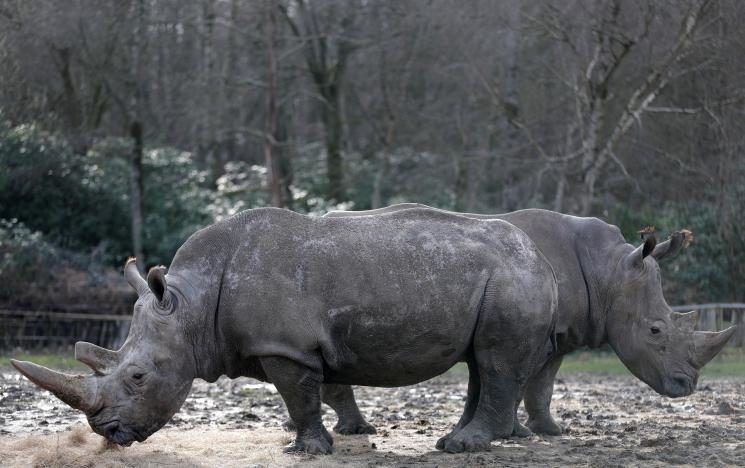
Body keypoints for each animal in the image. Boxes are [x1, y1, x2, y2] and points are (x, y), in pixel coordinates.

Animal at [12, 207, 559, 454]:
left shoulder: (286, 348)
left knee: (495, 361)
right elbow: (305, 398)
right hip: (500, 276)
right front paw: (300, 445)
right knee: (479, 361)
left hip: (513, 278)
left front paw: (308, 451)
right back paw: (455, 441)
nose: (107, 433)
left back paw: (466, 446)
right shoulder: (285, 346)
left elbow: (299, 397)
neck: (189, 307)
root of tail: (542, 259)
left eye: (138, 377)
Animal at [313, 203, 736, 439]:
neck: (609, 273)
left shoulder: (559, 334)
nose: (686, 386)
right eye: (655, 330)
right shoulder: (538, 332)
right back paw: (358, 430)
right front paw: (517, 434)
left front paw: (546, 432)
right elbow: (521, 382)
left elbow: (541, 385)